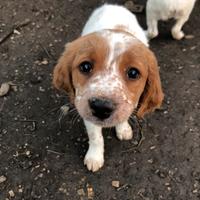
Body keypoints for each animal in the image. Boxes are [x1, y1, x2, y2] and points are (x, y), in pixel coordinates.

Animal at [53, 3, 164, 171]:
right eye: (85, 66)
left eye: (133, 72)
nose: (101, 107)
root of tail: (113, 5)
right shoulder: (84, 108)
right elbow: (96, 137)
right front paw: (94, 158)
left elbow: (124, 116)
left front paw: (123, 129)